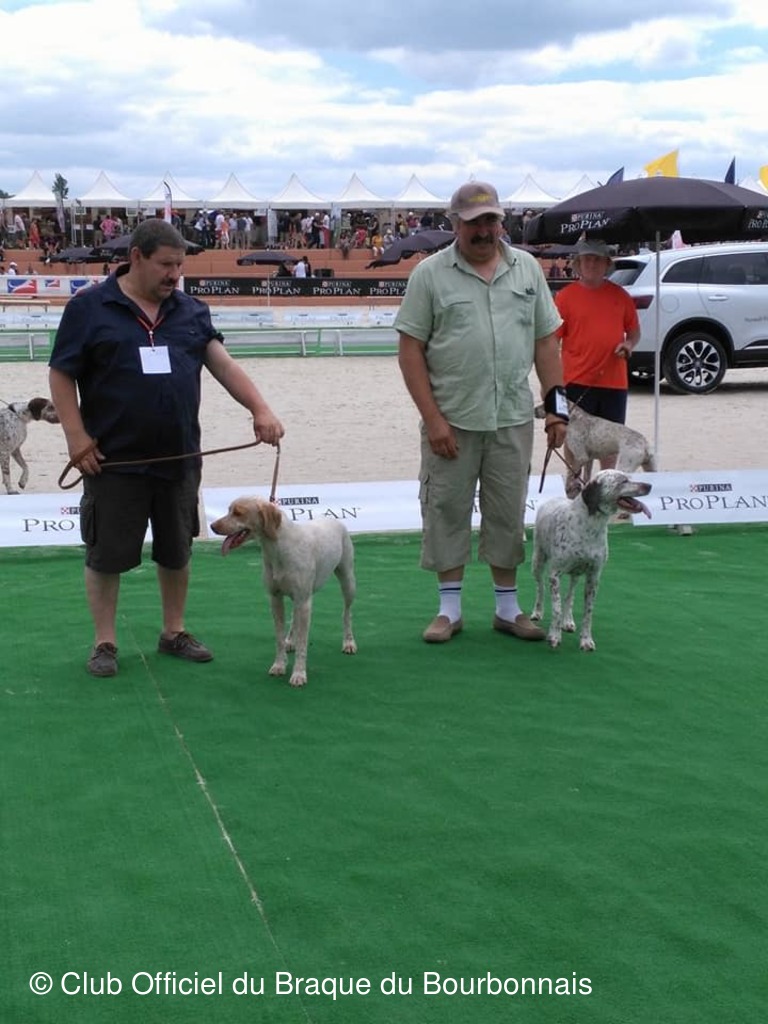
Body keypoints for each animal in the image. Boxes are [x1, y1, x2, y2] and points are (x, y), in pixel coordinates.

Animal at [210, 496, 357, 687]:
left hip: (347, 581)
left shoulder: (303, 601)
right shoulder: (276, 598)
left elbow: (303, 643)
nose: (212, 526)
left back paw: (349, 642)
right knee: (295, 619)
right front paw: (279, 665)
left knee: (346, 613)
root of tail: (333, 519)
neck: (279, 548)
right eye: (229, 510)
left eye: (238, 513)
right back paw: (290, 641)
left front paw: (299, 674)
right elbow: (279, 638)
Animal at [531, 469, 652, 651]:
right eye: (623, 481)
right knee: (540, 588)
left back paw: (568, 621)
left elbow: (588, 612)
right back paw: (537, 612)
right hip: (538, 562)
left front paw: (586, 640)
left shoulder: (594, 576)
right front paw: (554, 636)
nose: (649, 485)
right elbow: (556, 609)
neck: (590, 526)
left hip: (576, 573)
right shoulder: (554, 575)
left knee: (570, 596)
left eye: (629, 478)